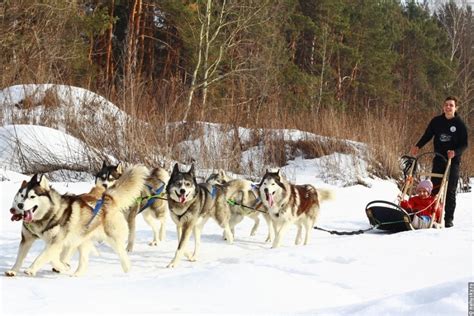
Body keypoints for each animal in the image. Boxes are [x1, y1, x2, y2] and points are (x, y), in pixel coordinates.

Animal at [6, 165, 147, 276]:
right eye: (21, 196)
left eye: (32, 196)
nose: (19, 206)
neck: (47, 215)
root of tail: (107, 199)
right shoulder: (28, 239)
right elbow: (22, 258)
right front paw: (13, 270)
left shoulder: (55, 242)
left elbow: (44, 257)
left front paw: (32, 269)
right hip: (82, 241)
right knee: (83, 261)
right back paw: (76, 274)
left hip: (112, 238)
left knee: (122, 253)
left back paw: (127, 270)